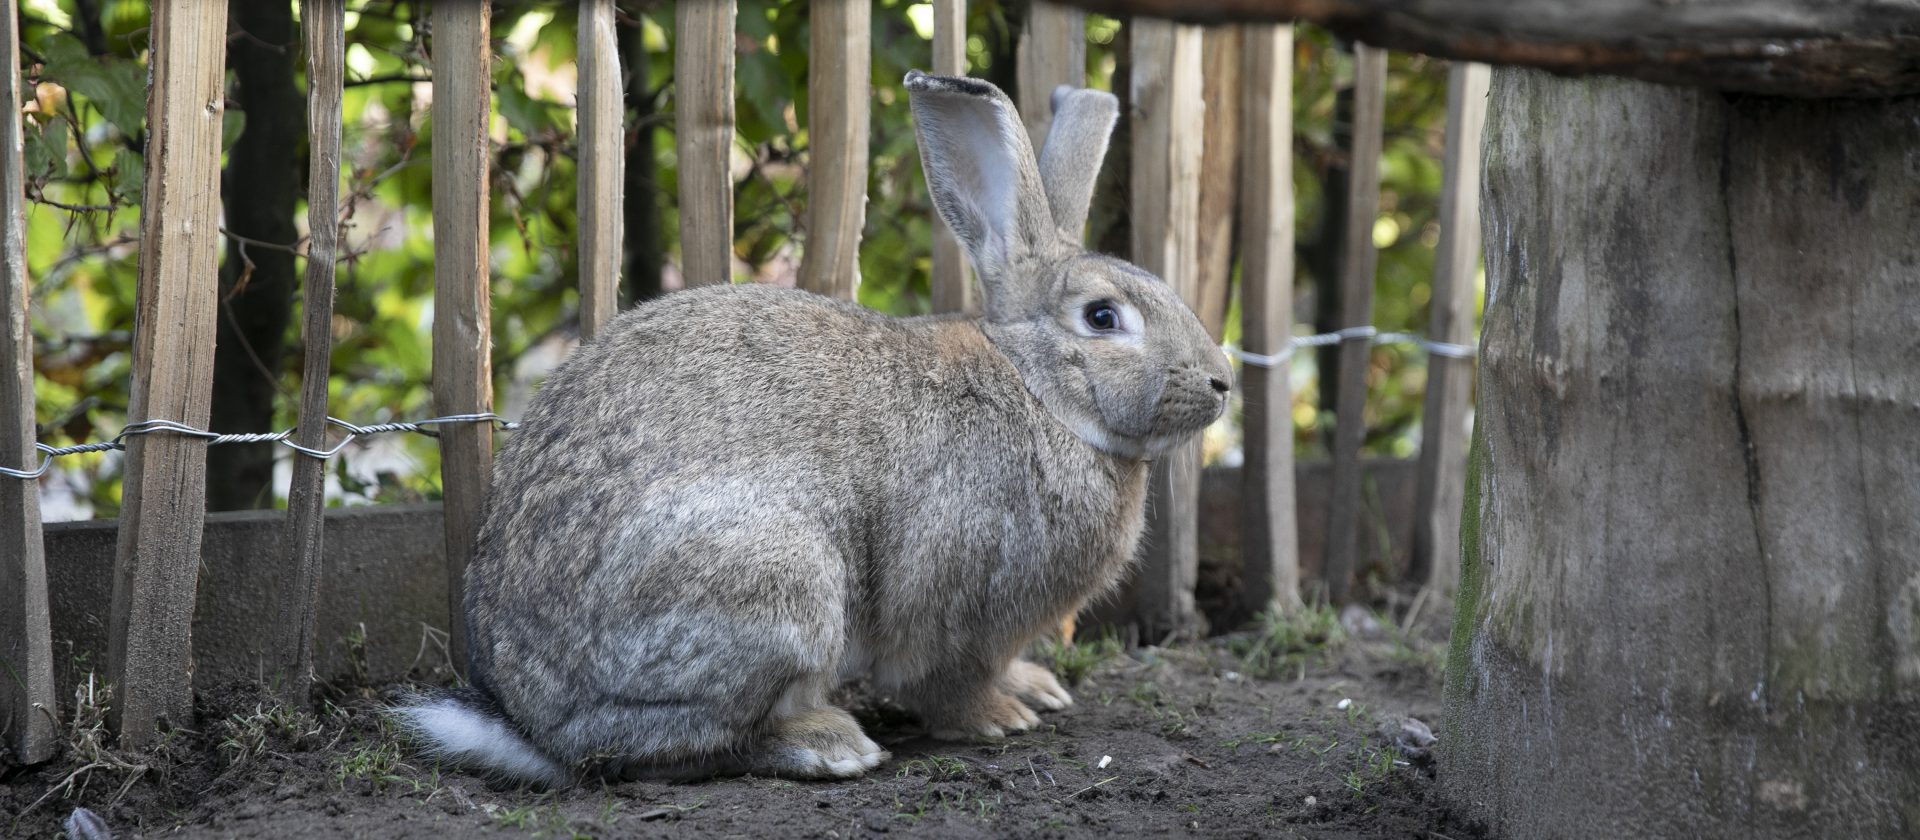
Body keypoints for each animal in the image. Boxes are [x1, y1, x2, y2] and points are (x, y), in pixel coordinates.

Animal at [389, 72, 1228, 786]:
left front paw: (1038, 689)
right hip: (778, 588)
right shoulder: (956, 600)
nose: (1221, 381)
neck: (1040, 391)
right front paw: (1000, 718)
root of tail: (532, 721)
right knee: (672, 745)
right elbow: (946, 681)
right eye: (1103, 318)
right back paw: (829, 743)